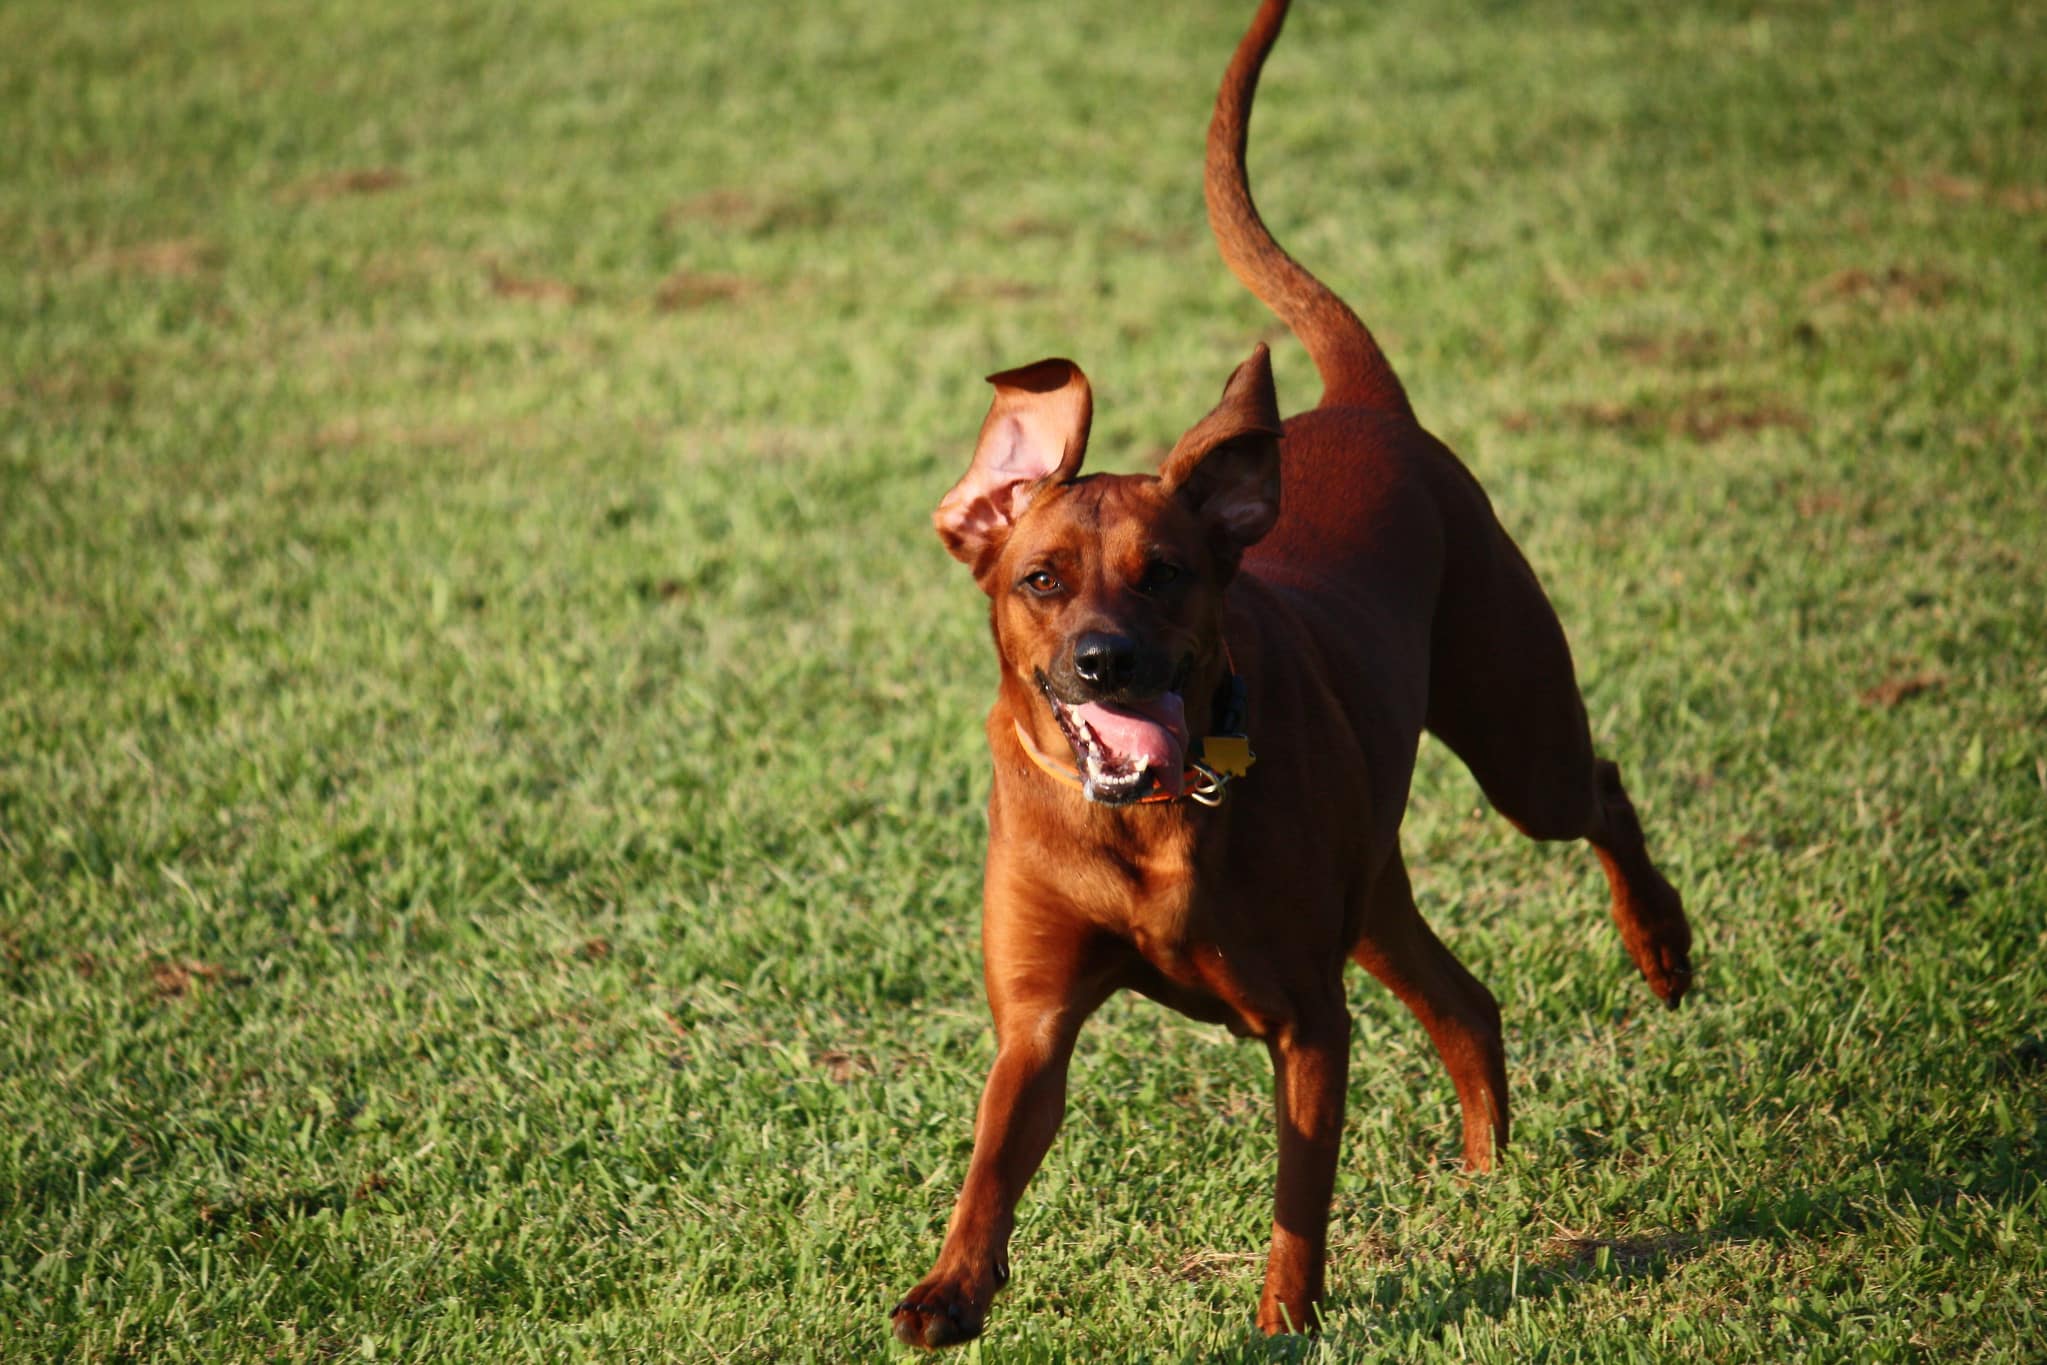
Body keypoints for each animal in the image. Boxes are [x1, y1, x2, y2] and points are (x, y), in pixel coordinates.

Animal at [896, 0, 1694, 1342]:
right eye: (1040, 579)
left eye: (1166, 572)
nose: (1105, 662)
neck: (1148, 821)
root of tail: (1364, 404)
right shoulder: (1038, 1019)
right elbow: (992, 1160)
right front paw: (951, 1289)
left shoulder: (1307, 1019)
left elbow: (1298, 1191)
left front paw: (1285, 1320)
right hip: (1372, 893)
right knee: (1465, 1000)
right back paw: (1486, 1178)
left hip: (1514, 741)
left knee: (1599, 792)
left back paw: (1663, 948)